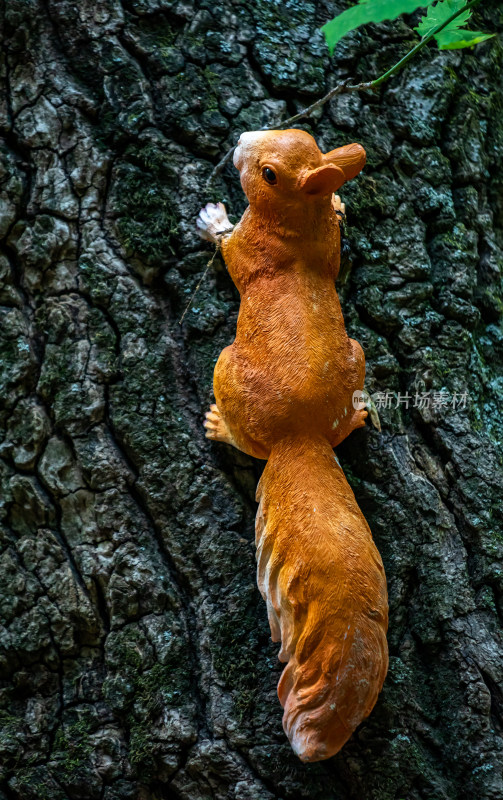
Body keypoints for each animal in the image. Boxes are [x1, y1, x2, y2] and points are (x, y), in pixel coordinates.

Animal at [198, 130, 390, 764]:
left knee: (246, 439)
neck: (296, 224)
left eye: (268, 174)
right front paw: (342, 203)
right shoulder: (324, 246)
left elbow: (230, 253)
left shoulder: (252, 253)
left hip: (226, 368)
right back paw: (358, 416)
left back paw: (219, 426)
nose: (239, 140)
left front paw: (212, 219)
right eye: (303, 138)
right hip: (356, 356)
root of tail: (301, 437)